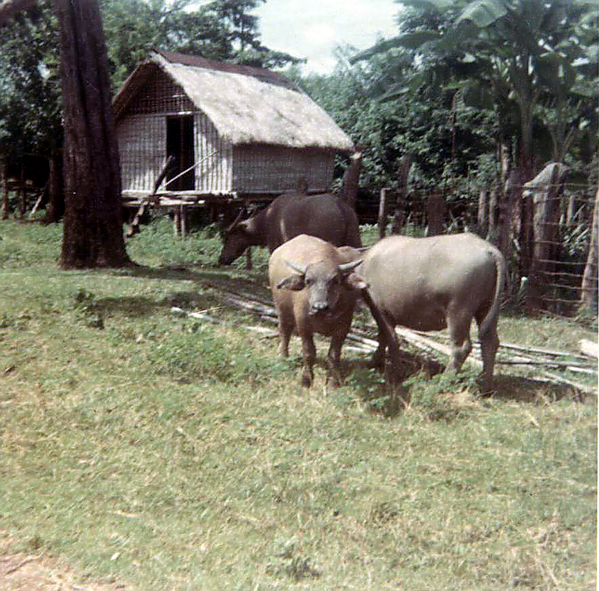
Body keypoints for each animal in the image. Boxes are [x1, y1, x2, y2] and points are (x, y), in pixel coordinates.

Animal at [219, 193, 364, 264]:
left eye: (228, 238)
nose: (221, 259)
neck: (266, 221)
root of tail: (341, 206)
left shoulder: (275, 246)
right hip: (354, 240)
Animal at [268, 236, 366, 388]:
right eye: (308, 281)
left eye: (335, 280)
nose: (320, 306)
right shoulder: (303, 324)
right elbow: (309, 352)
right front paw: (306, 380)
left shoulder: (344, 327)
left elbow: (334, 354)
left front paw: (333, 382)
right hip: (282, 309)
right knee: (285, 330)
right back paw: (283, 356)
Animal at [358, 234, 508, 390]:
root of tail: (489, 250)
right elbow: (383, 337)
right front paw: (375, 362)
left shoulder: (380, 310)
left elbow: (390, 338)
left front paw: (396, 371)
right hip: (486, 307)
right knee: (490, 342)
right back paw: (485, 385)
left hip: (458, 311)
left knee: (461, 347)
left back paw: (444, 380)